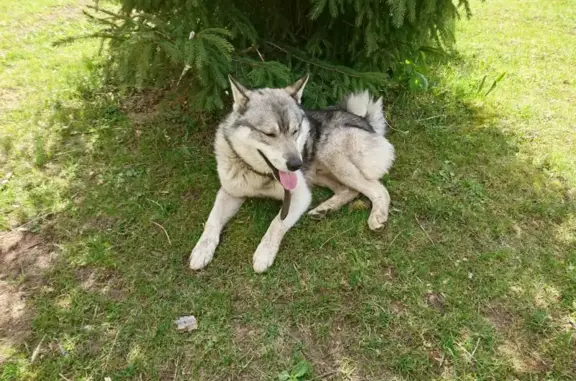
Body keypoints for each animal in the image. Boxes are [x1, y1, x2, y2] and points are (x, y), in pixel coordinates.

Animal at [189, 74, 396, 272]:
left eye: (295, 131)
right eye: (269, 134)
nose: (296, 164)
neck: (260, 175)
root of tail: (365, 121)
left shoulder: (299, 196)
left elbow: (276, 224)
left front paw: (264, 254)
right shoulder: (229, 192)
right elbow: (212, 220)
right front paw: (201, 250)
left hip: (332, 154)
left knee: (379, 190)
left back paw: (376, 216)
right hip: (318, 172)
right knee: (349, 190)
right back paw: (325, 208)